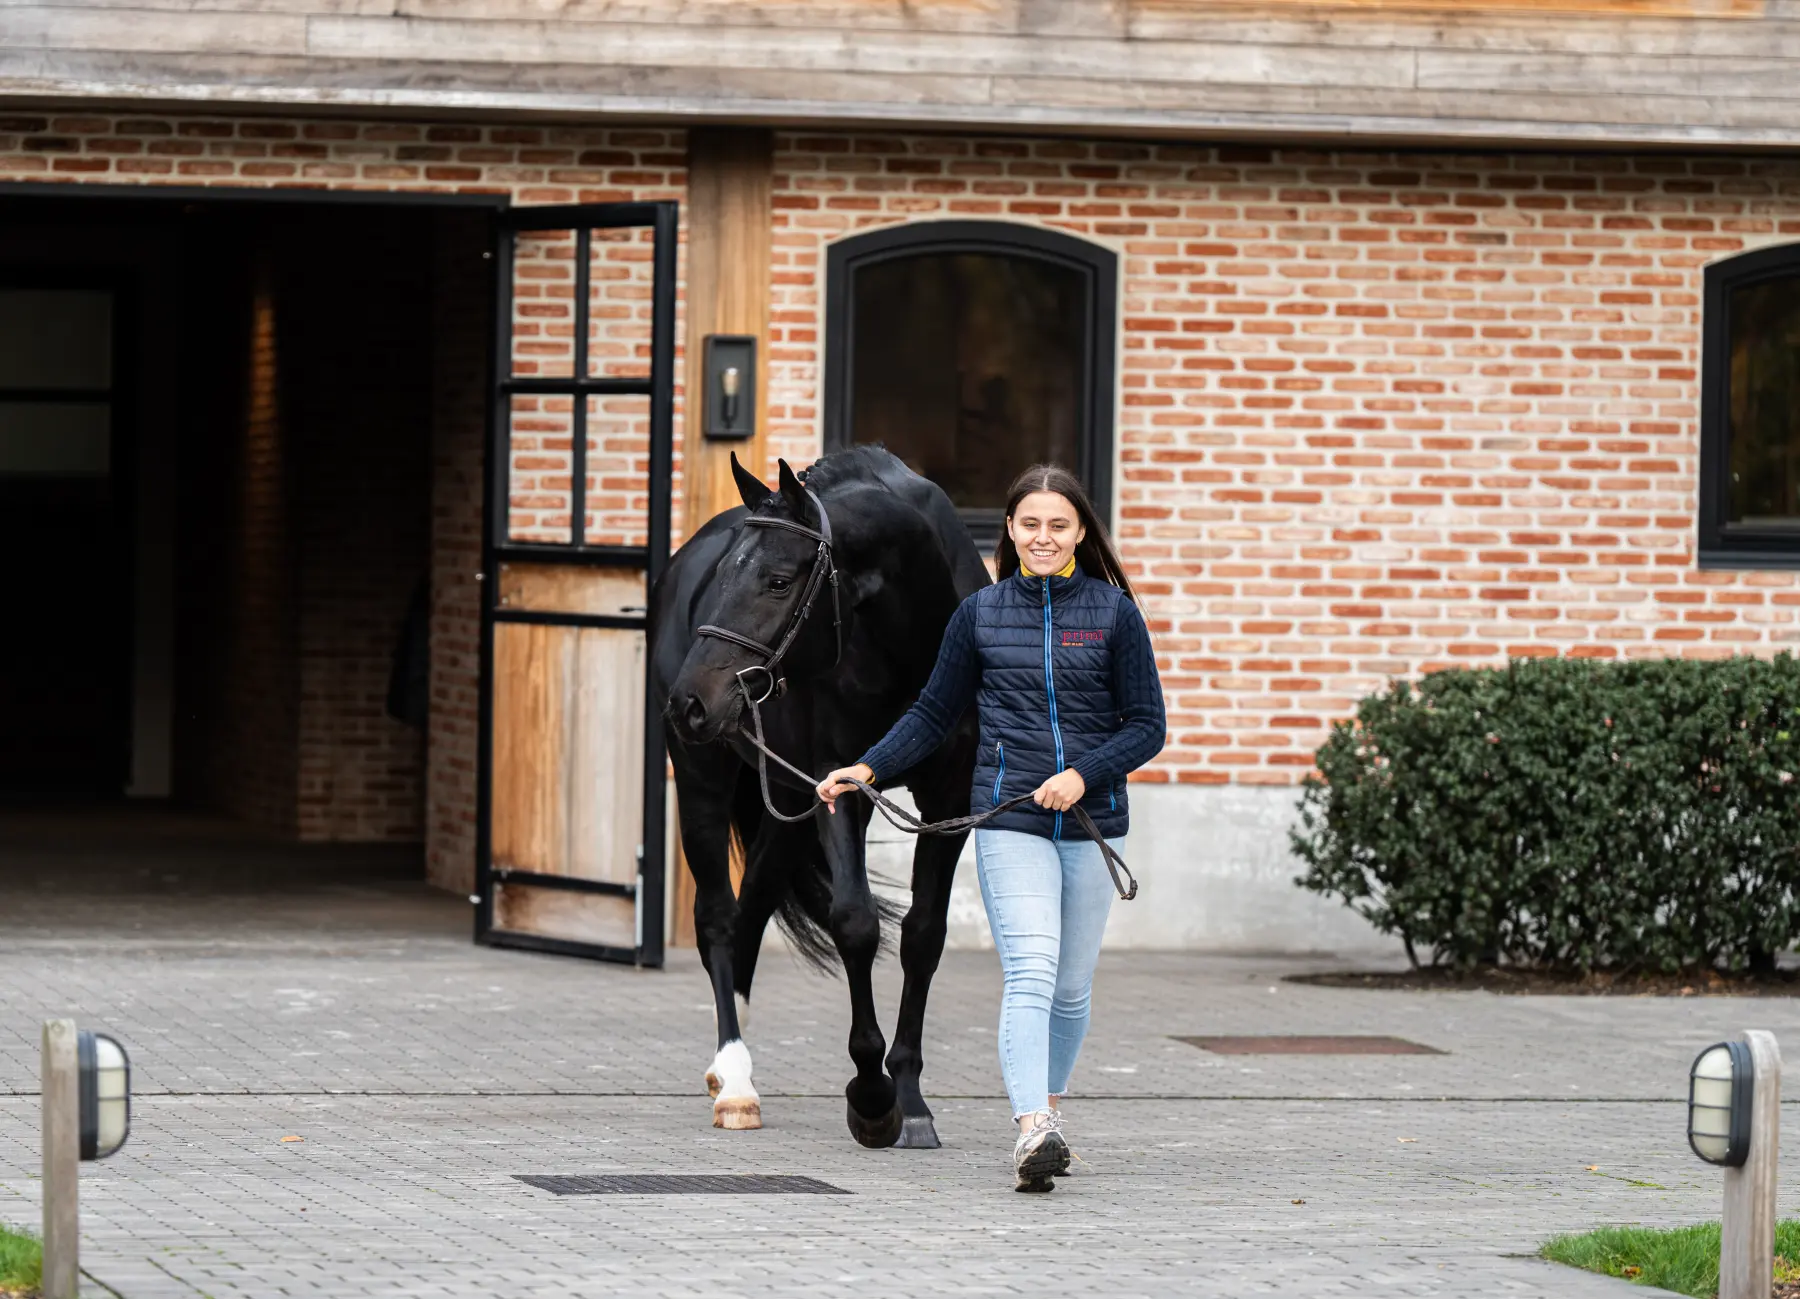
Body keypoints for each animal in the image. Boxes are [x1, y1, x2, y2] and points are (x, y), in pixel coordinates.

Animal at [653, 446, 989, 1148]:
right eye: (726, 576)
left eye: (780, 581)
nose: (690, 702)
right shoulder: (843, 785)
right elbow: (855, 922)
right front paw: (872, 1095)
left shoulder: (949, 802)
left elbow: (923, 936)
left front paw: (910, 1099)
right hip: (700, 776)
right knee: (719, 918)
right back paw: (736, 1081)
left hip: (785, 803)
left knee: (752, 907)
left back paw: (730, 1070)